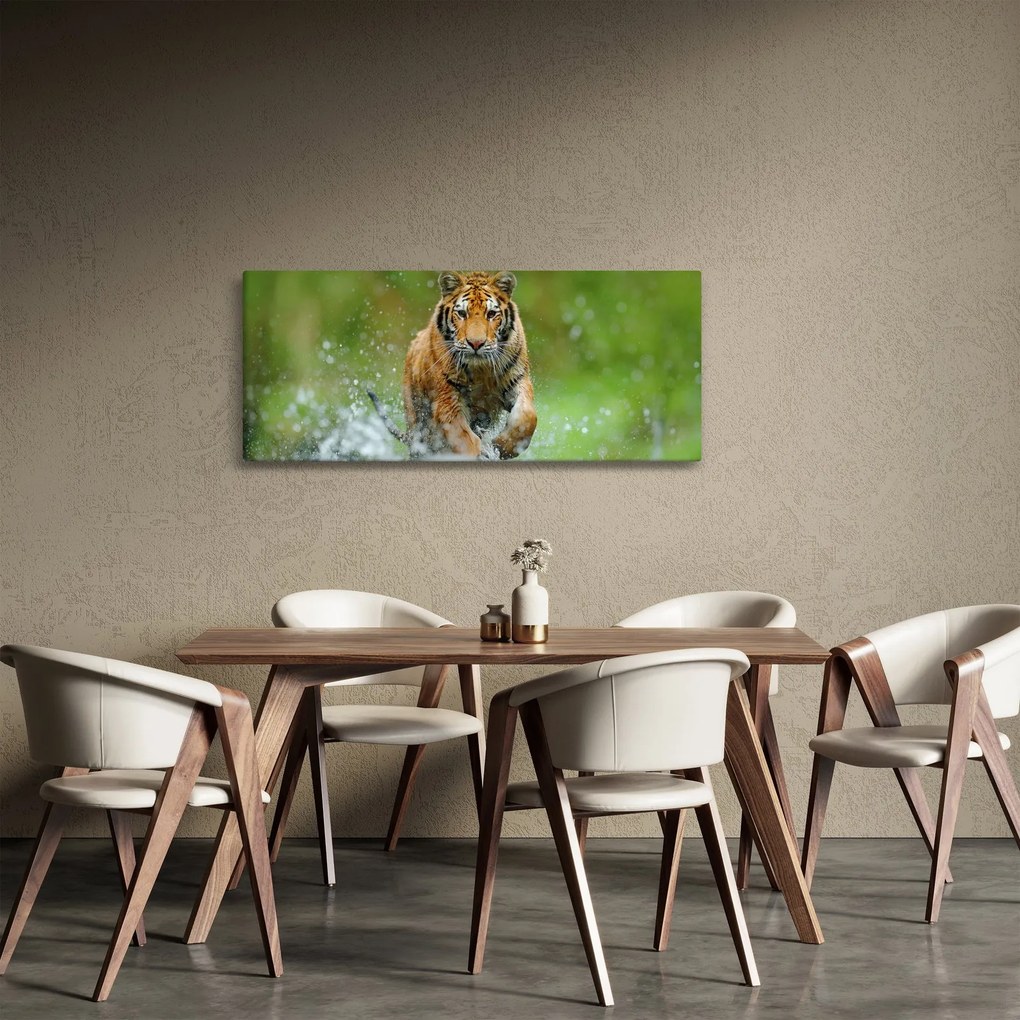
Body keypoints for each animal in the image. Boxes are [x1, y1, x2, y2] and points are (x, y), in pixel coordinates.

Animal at [368, 271, 537, 459]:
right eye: (462, 313)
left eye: (491, 314)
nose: (476, 343)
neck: (481, 369)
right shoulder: (447, 400)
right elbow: (464, 440)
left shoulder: (518, 380)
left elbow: (527, 416)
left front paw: (502, 446)